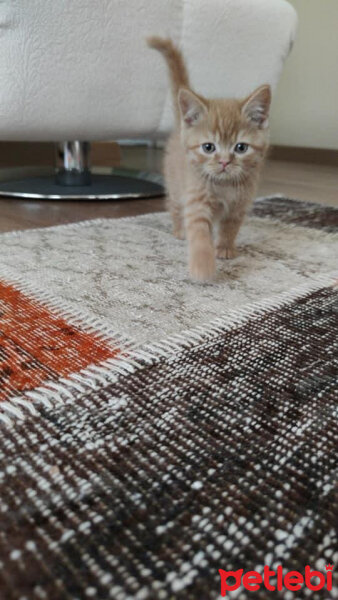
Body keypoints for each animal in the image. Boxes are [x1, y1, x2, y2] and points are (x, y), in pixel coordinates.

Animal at [147, 37, 270, 282]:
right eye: (208, 147)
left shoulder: (239, 205)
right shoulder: (196, 198)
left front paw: (225, 248)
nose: (224, 162)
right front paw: (203, 265)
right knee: (175, 207)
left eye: (241, 148)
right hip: (175, 187)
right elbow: (200, 232)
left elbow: (230, 227)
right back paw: (179, 230)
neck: (224, 186)